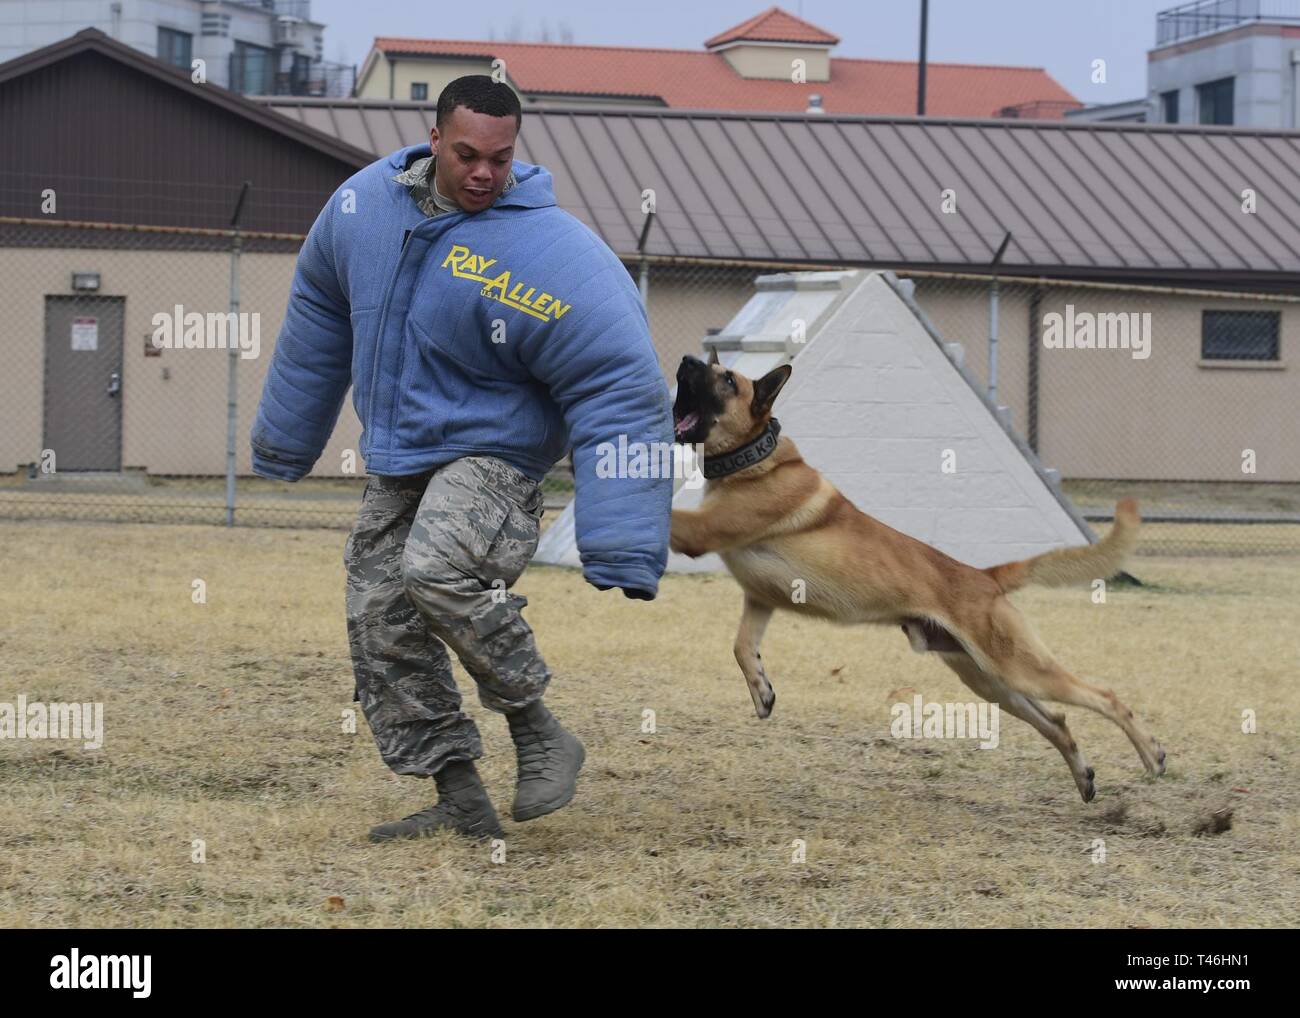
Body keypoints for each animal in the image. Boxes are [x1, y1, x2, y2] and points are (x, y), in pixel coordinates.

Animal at [670, 351, 1170, 806]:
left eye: (728, 379)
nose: (687, 359)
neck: (753, 462)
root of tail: (985, 577)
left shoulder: (700, 531)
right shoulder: (760, 599)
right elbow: (742, 647)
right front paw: (762, 689)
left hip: (1020, 670)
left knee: (1105, 696)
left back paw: (1152, 754)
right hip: (991, 682)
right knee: (1059, 724)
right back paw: (1084, 777)